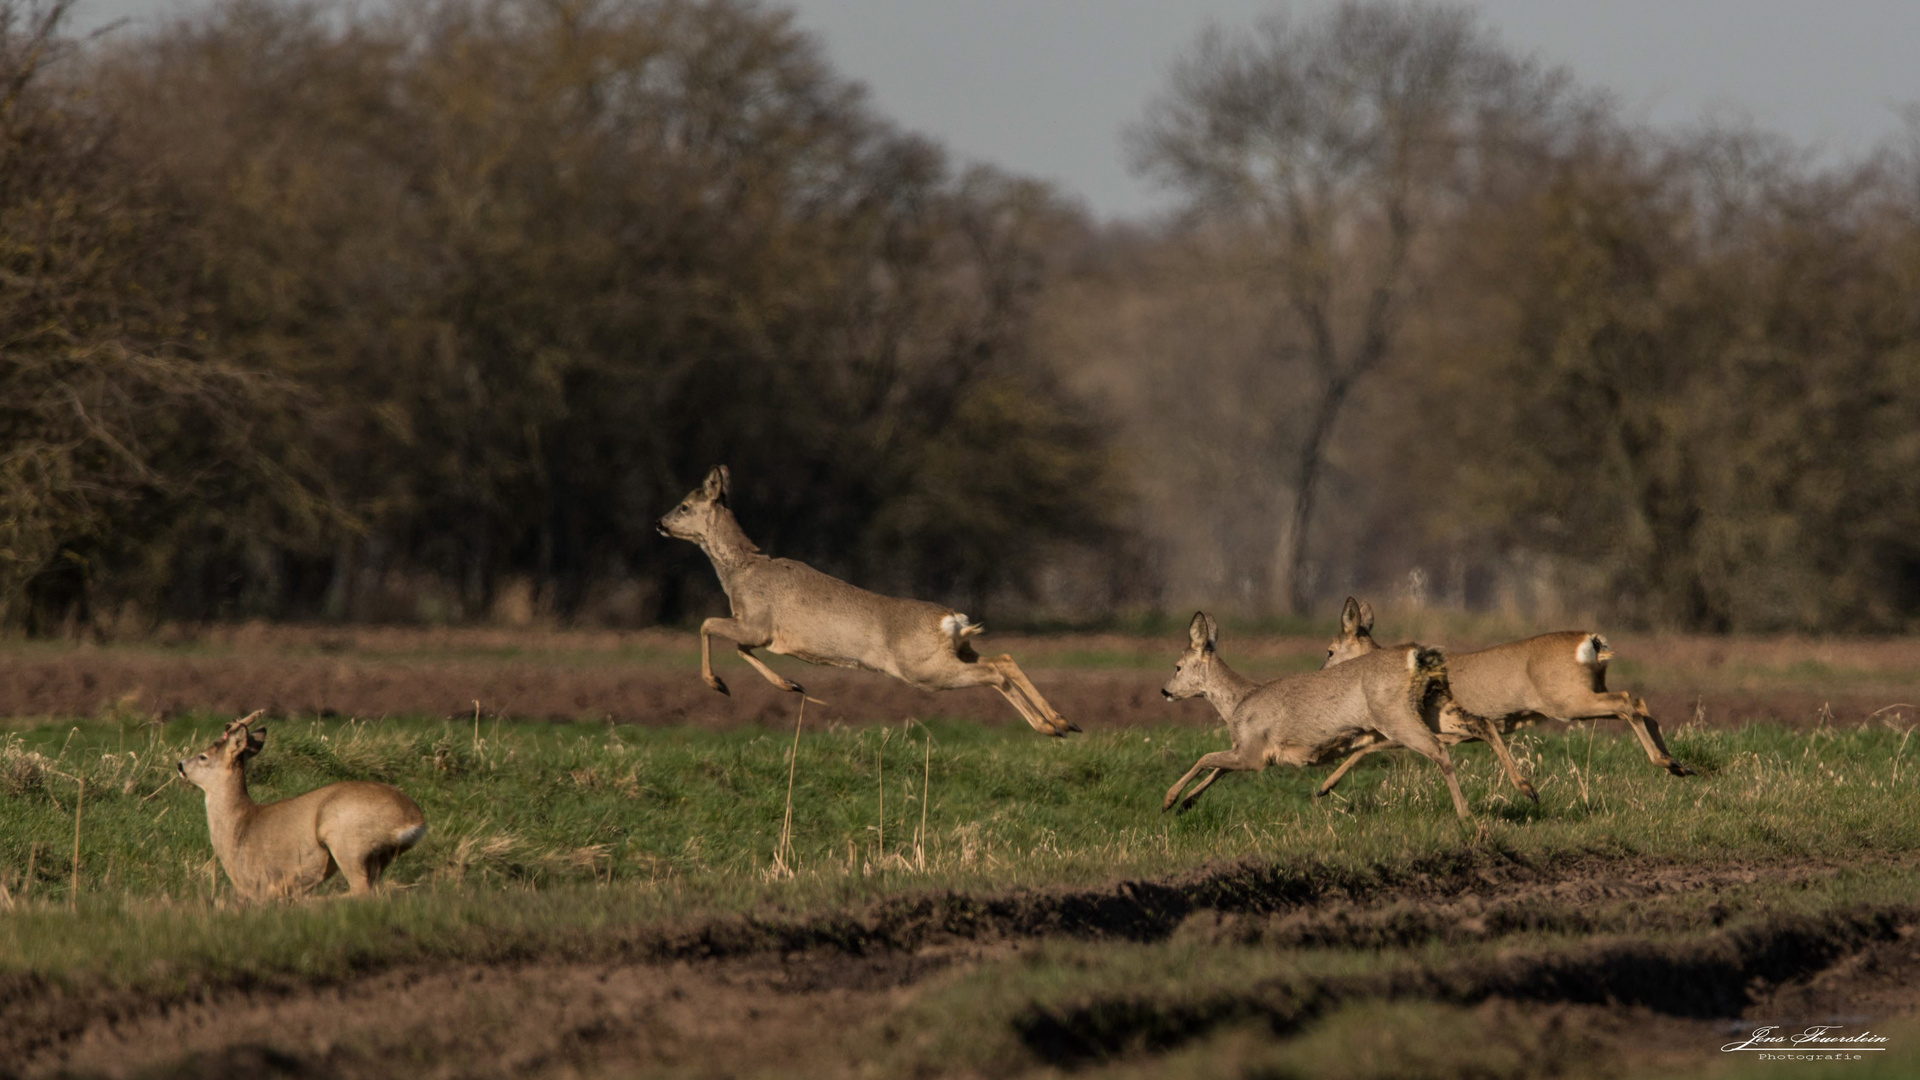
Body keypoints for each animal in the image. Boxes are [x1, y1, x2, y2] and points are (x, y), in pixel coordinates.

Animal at [177, 707, 428, 899]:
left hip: (344, 836)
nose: (180, 765)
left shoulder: (261, 881)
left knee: (360, 891)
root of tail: (415, 819)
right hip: (380, 857)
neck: (239, 825)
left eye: (203, 756)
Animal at [656, 463, 1082, 730]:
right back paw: (1061, 723)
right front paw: (791, 685)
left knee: (994, 673)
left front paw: (718, 684)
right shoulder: (759, 632)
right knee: (1004, 660)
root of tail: (950, 620)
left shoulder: (758, 623)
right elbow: (741, 648)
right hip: (954, 654)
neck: (741, 571)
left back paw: (1049, 725)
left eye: (685, 506)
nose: (659, 522)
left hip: (924, 669)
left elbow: (707, 624)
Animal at [1144, 614, 1474, 814]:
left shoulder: (1255, 754)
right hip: (1430, 709)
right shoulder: (1246, 750)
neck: (1239, 702)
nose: (1164, 691)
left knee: (1439, 750)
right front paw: (1187, 802)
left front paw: (1168, 800)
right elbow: (1217, 768)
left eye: (1177, 666)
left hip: (1396, 715)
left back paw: (1464, 813)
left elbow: (1205, 760)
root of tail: (1413, 655)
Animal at [1320, 591, 1697, 795]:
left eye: (1330, 650)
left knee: (1627, 701)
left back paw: (1666, 761)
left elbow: (1369, 747)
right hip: (1588, 692)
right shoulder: (1441, 731)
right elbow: (1372, 747)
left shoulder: (1433, 723)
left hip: (1567, 700)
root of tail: (1590, 642)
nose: (1322, 675)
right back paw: (1678, 765)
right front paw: (1325, 788)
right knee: (1640, 702)